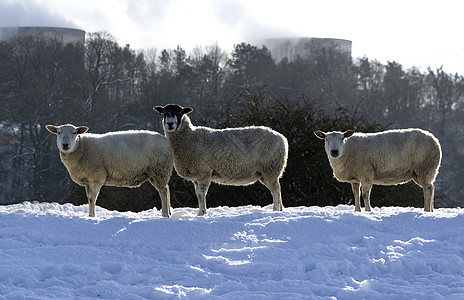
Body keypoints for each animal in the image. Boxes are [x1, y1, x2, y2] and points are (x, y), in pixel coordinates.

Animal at [45, 124, 174, 218]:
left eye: (74, 132)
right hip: (157, 172)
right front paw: (90, 215)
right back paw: (169, 212)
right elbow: (89, 199)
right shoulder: (88, 180)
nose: (65, 145)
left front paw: (92, 216)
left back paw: (164, 215)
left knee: (163, 192)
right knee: (167, 188)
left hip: (160, 170)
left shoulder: (96, 177)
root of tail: (166, 141)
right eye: (58, 132)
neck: (82, 147)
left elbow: (92, 198)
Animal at [154, 103, 288, 216]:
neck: (189, 138)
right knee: (278, 188)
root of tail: (282, 139)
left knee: (275, 190)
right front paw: (201, 212)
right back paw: (280, 209)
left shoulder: (204, 172)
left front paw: (201, 213)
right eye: (164, 113)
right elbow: (198, 194)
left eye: (179, 112)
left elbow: (201, 194)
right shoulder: (197, 176)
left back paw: (276, 210)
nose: (170, 124)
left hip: (270, 168)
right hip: (264, 173)